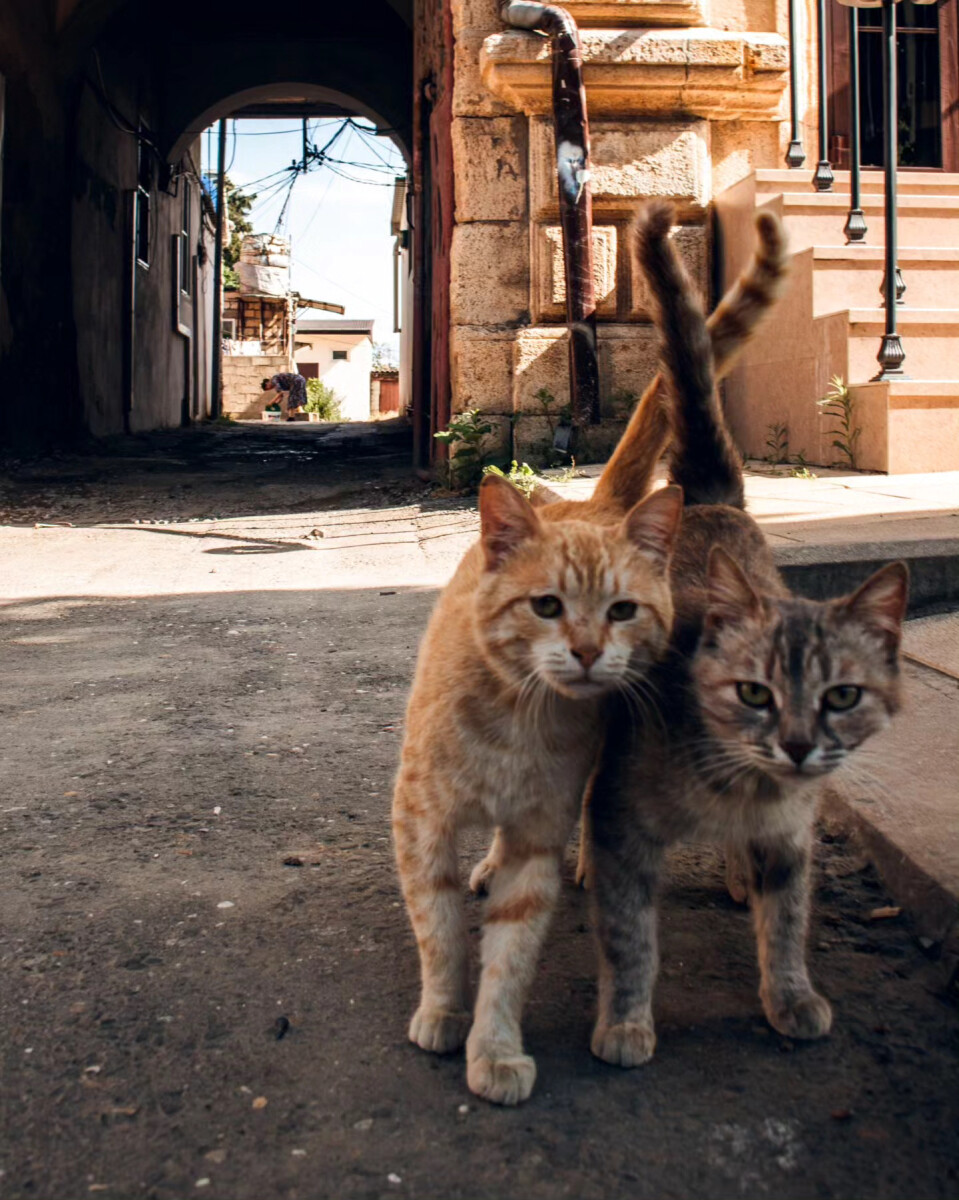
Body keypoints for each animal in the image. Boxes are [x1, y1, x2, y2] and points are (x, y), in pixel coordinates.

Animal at [388, 208, 787, 1104]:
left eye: (621, 611)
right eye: (545, 606)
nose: (584, 651)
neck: (515, 723)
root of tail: (592, 503)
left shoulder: (537, 831)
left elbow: (508, 954)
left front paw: (494, 1048)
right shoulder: (421, 822)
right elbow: (440, 932)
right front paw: (440, 1012)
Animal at [588, 199, 912, 1070]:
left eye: (842, 697)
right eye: (752, 693)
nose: (798, 746)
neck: (741, 784)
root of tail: (707, 497)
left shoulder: (790, 839)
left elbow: (788, 922)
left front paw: (789, 995)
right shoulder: (621, 827)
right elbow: (629, 940)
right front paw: (624, 1022)